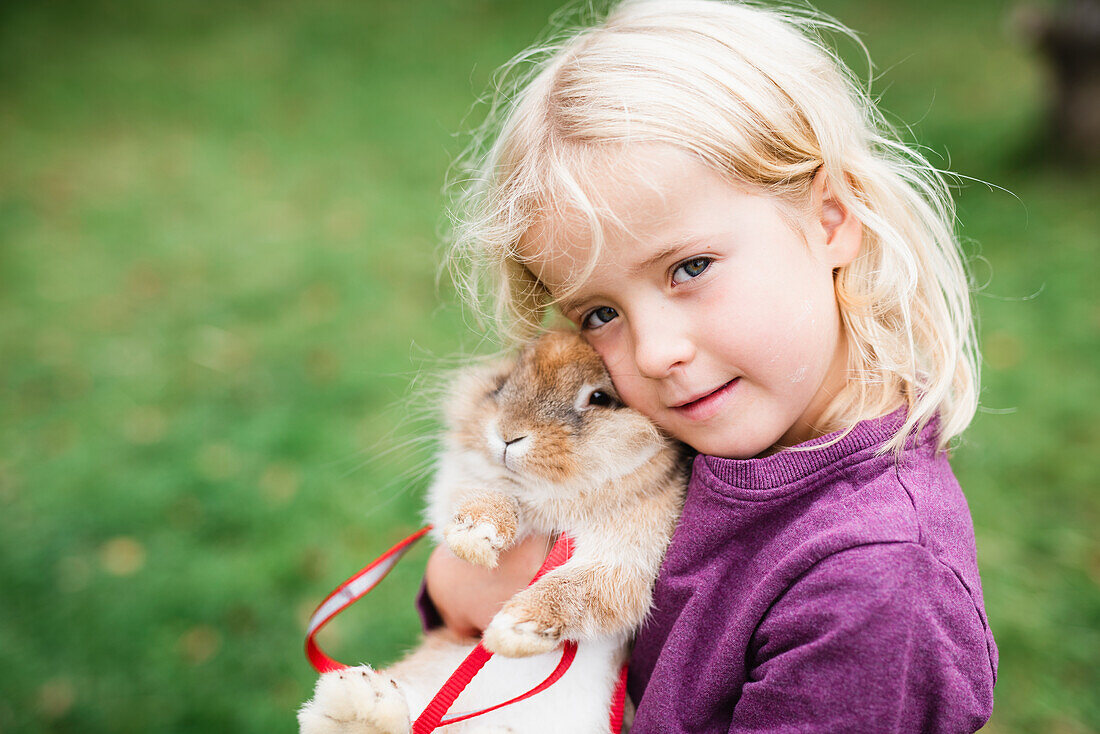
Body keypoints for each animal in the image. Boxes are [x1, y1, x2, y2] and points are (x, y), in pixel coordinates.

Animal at [299, 332, 686, 734]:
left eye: (599, 398)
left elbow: (577, 585)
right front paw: (474, 538)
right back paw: (358, 700)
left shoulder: (628, 553)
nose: (508, 435)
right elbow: (493, 497)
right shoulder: (459, 485)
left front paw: (512, 631)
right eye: (502, 385)